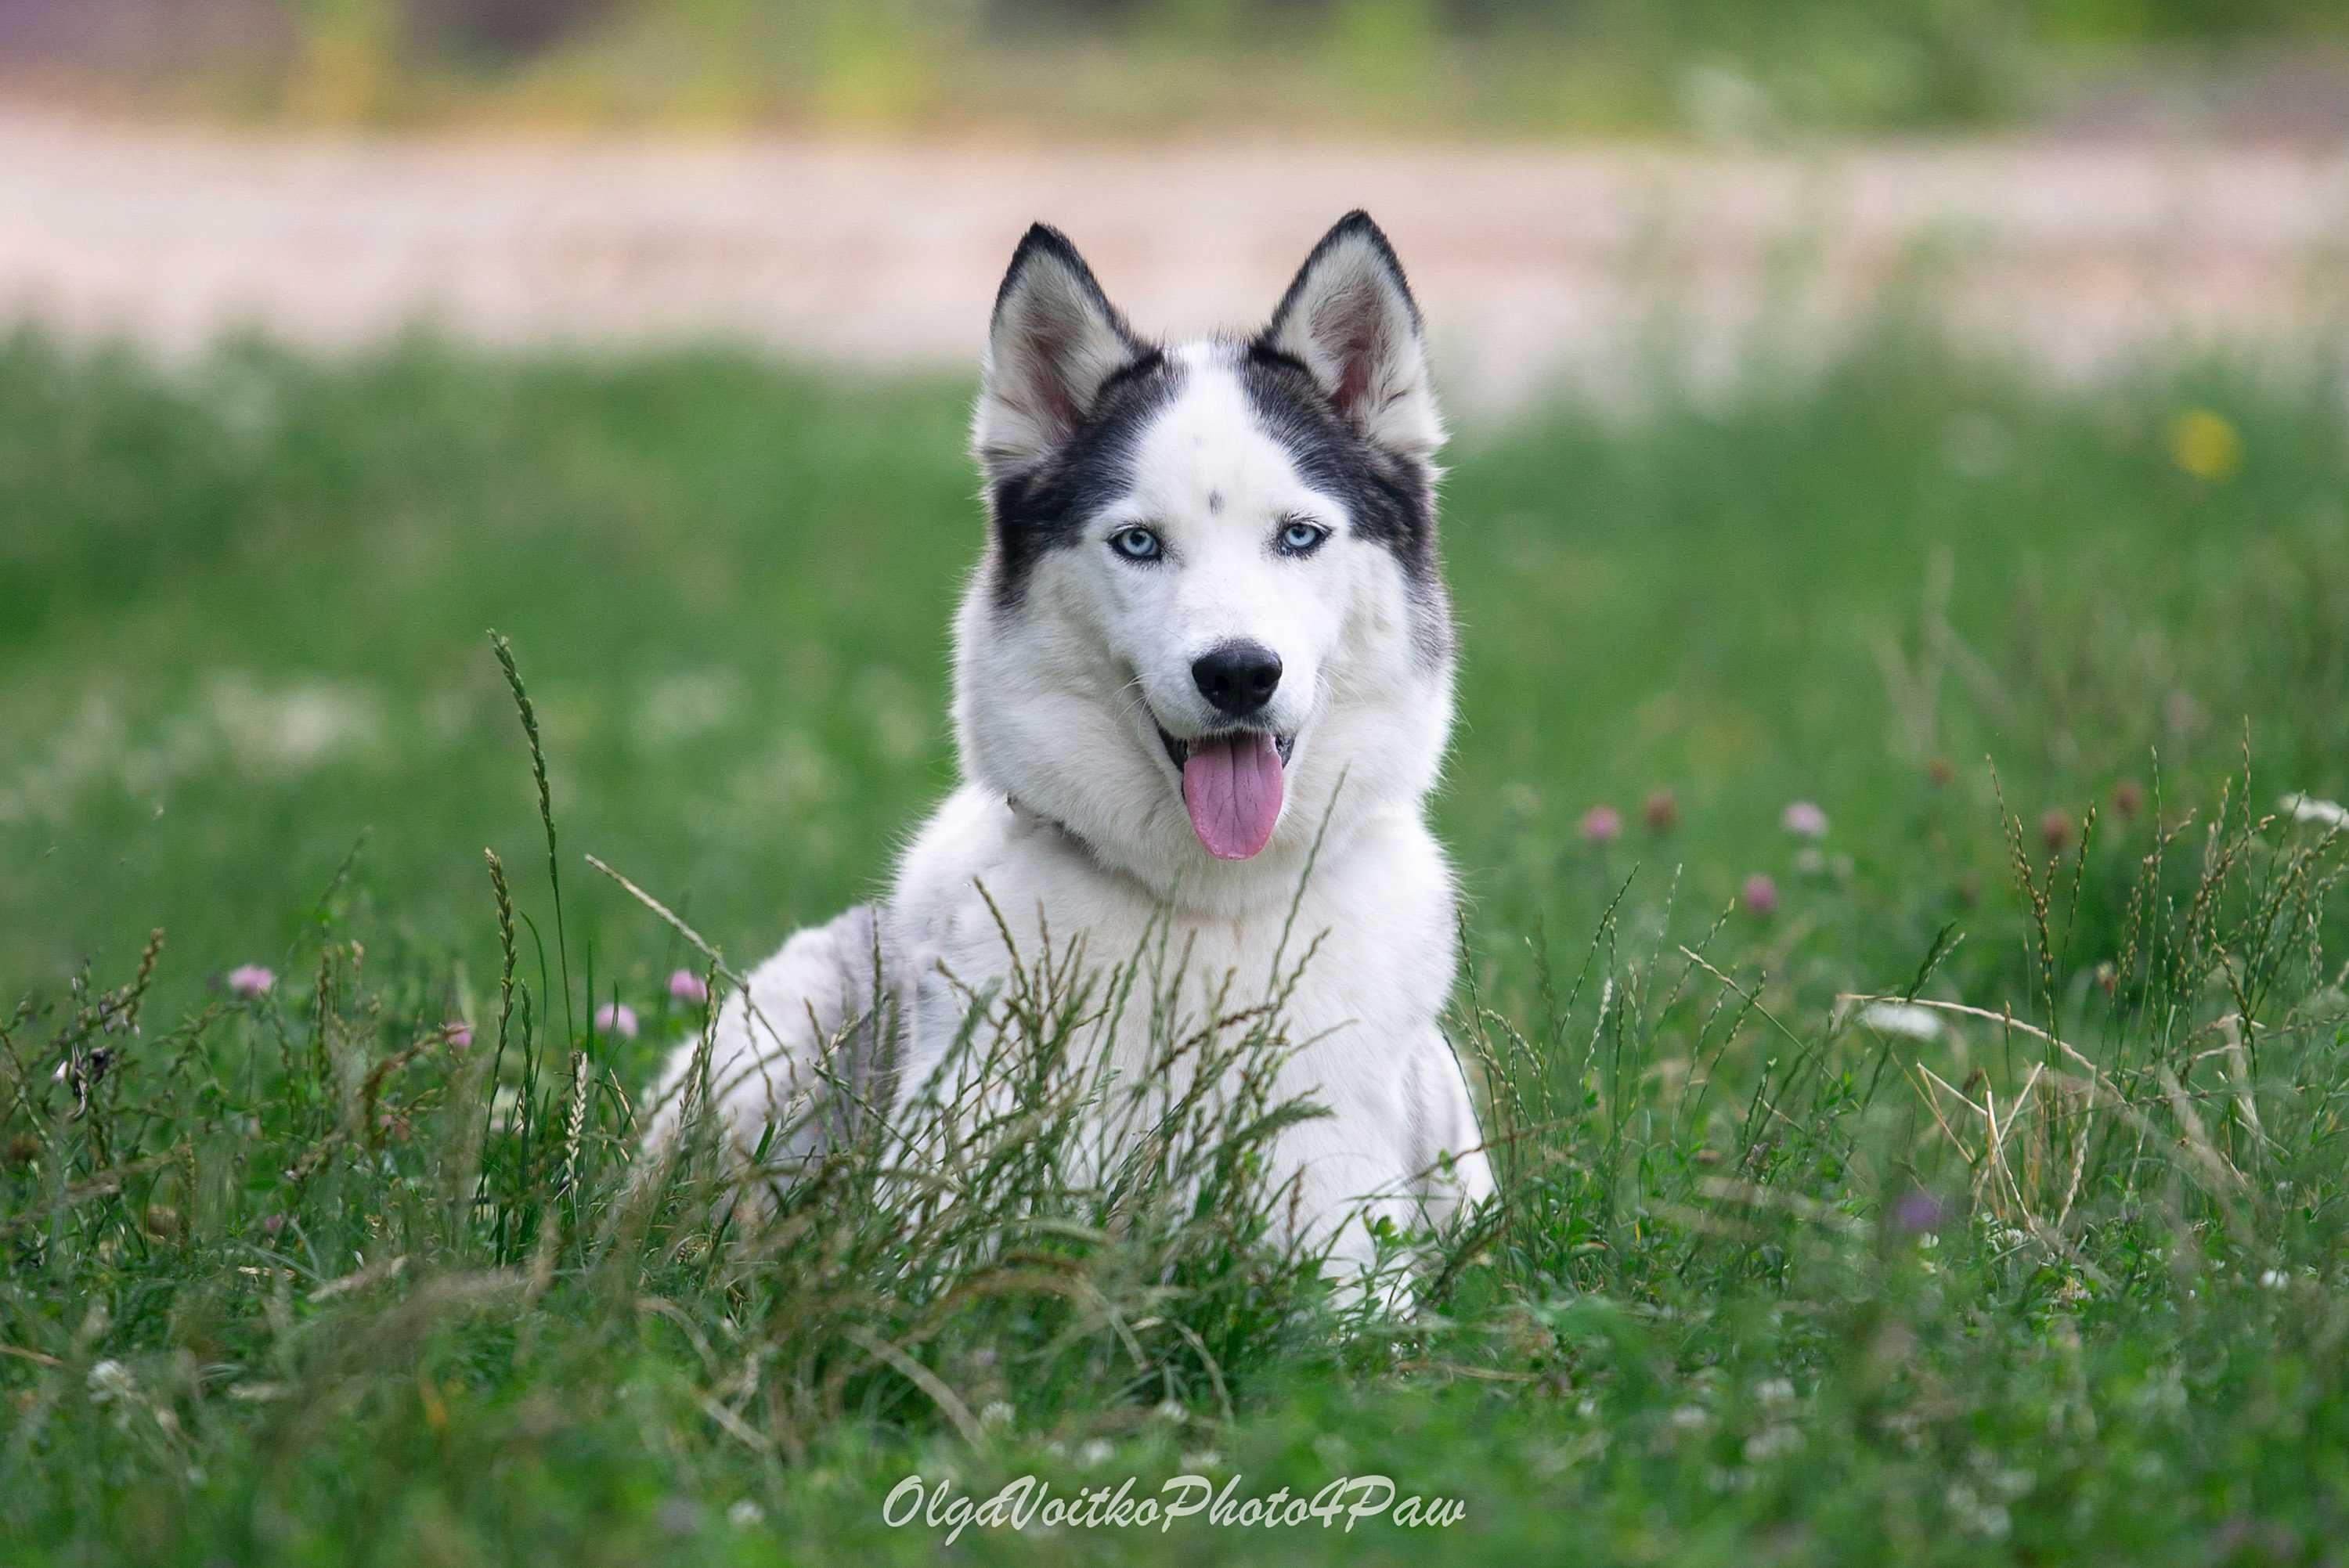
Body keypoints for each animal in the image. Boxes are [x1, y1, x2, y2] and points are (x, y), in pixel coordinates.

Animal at [648, 214, 1485, 1277]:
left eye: (1299, 535)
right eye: (1138, 542)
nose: (1239, 673)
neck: (1202, 914)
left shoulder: (1341, 1230)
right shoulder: (941, 1216)